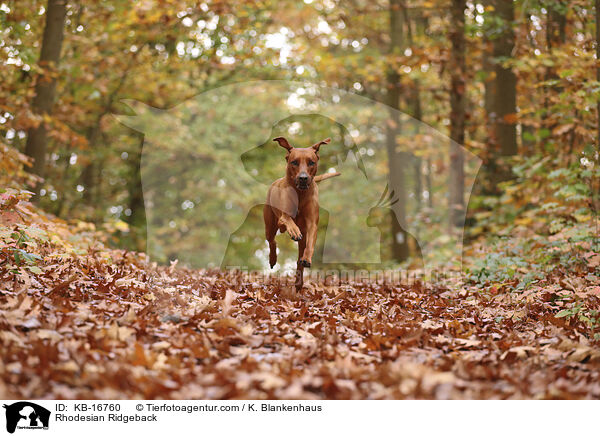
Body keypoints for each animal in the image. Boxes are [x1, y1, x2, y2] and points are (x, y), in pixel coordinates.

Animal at [264, 135, 340, 292]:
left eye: (311, 162)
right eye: (294, 162)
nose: (303, 178)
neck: (300, 194)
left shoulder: (312, 224)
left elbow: (310, 243)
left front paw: (307, 259)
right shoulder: (283, 217)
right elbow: (287, 219)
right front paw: (293, 230)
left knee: (299, 259)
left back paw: (299, 283)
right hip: (269, 224)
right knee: (272, 240)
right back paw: (273, 259)